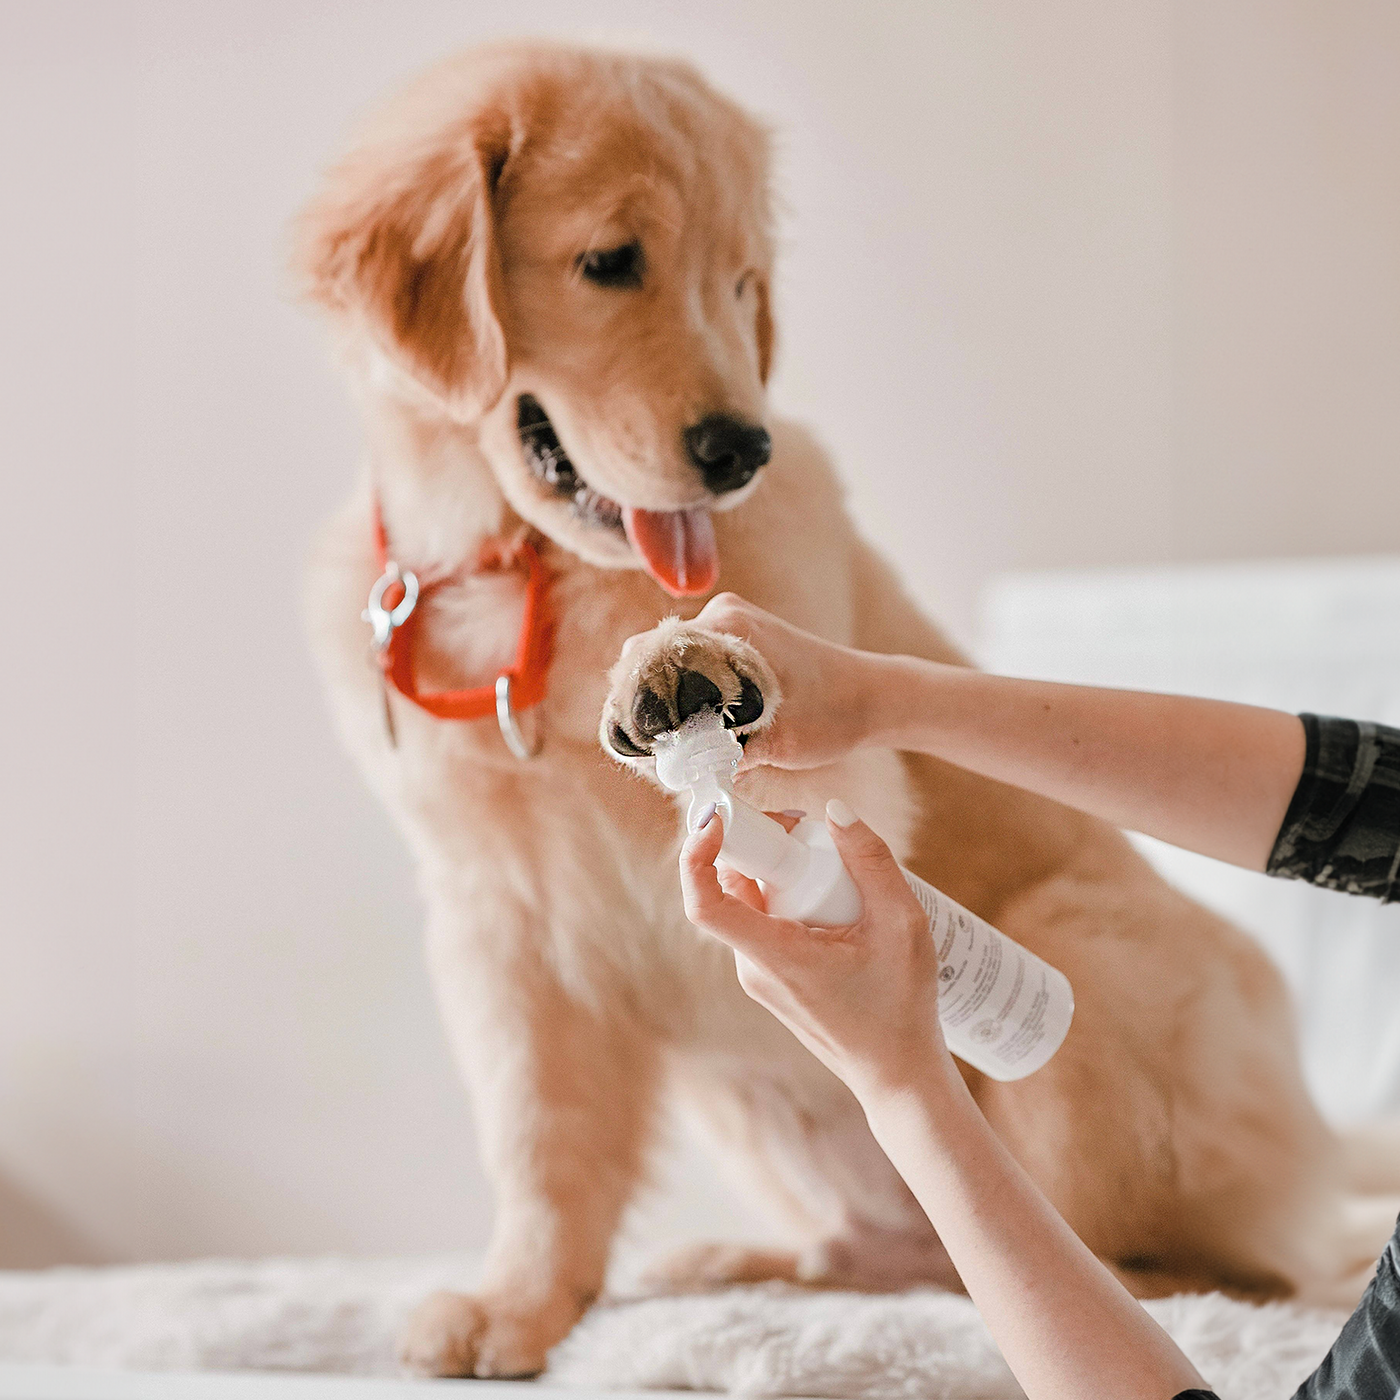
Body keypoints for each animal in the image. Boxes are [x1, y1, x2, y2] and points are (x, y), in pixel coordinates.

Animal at [292, 40, 1388, 1377]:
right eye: (609, 261)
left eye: (738, 282)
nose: (737, 448)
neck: (524, 574)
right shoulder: (494, 915)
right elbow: (537, 1130)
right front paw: (522, 1299)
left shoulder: (834, 773)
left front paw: (683, 668)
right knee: (900, 1251)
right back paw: (756, 1260)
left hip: (1088, 963)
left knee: (1219, 1266)